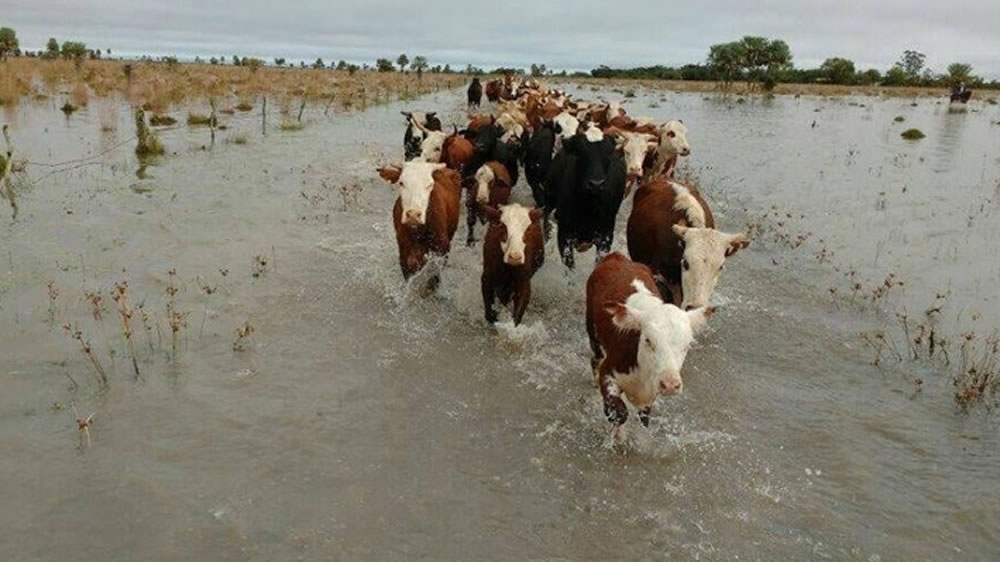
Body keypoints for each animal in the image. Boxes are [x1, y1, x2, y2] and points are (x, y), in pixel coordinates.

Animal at [584, 252, 716, 426]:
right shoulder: (608, 371)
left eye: (687, 345)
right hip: (592, 331)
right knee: (595, 358)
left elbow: (644, 418)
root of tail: (617, 256)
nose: (670, 385)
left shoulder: (649, 397)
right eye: (648, 340)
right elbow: (619, 412)